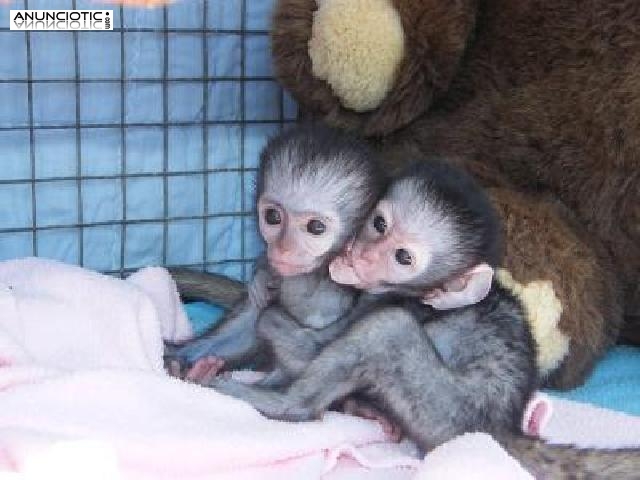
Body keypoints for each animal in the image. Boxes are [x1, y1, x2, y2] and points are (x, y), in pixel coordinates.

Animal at [203, 160, 640, 478]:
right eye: (378, 224)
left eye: (403, 257)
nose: (363, 256)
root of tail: (504, 425)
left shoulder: (393, 301)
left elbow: (304, 344)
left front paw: (270, 307)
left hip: (444, 409)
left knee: (387, 331)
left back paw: (280, 403)